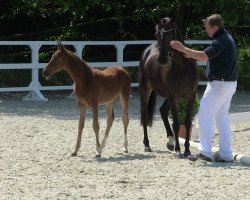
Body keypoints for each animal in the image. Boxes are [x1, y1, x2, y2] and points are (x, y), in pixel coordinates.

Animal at [138, 17, 198, 157]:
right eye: (156, 34)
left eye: (171, 34)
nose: (162, 59)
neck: (182, 67)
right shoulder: (172, 96)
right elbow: (176, 123)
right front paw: (178, 150)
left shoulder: (190, 96)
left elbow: (187, 122)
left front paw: (187, 150)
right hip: (146, 90)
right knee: (144, 115)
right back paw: (147, 145)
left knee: (163, 111)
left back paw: (170, 142)